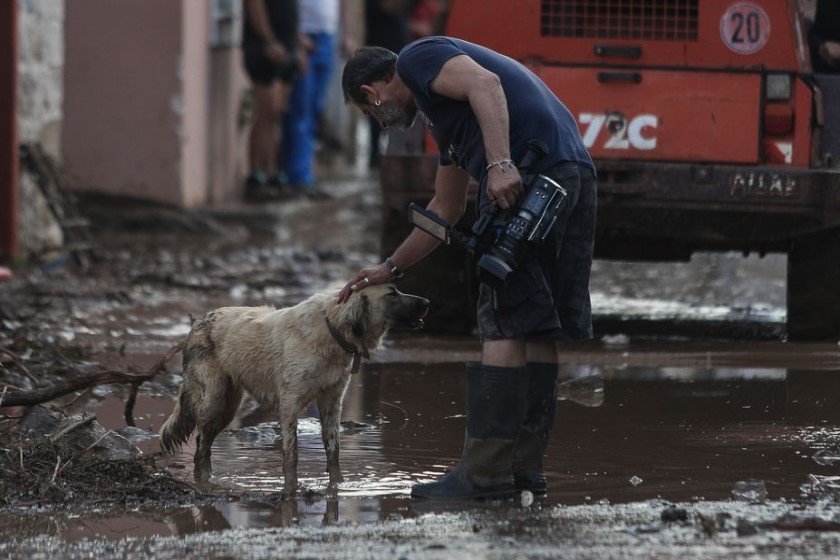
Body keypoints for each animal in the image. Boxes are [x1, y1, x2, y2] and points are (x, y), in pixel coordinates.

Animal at [161, 286, 430, 492]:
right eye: (392, 293)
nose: (427, 302)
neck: (332, 330)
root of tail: (199, 321)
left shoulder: (331, 404)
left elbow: (334, 453)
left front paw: (338, 486)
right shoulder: (290, 404)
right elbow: (292, 455)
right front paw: (293, 489)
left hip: (229, 406)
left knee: (204, 445)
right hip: (214, 399)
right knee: (200, 445)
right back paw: (206, 481)